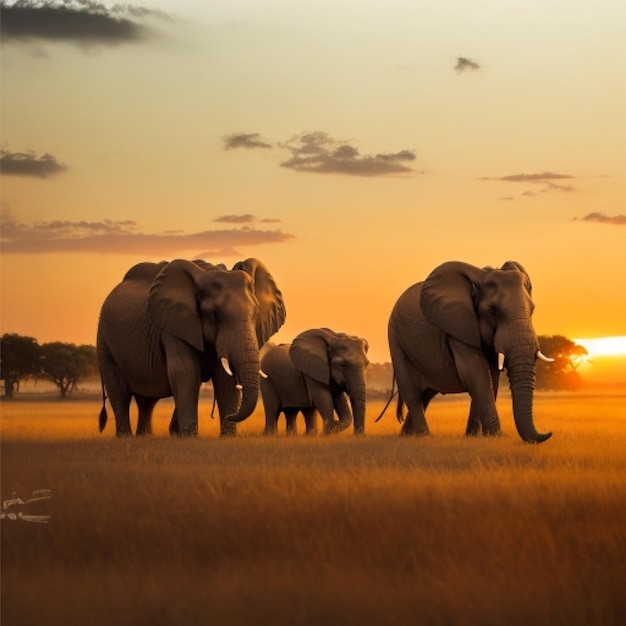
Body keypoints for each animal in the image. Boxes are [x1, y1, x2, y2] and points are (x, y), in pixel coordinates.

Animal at [97, 256, 286, 436]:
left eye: (255, 313)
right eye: (215, 314)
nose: (229, 416)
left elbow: (225, 378)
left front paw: (227, 436)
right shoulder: (173, 324)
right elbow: (186, 372)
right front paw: (189, 436)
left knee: (147, 401)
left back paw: (147, 436)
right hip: (104, 341)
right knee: (119, 391)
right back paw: (126, 436)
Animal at [386, 260, 552, 442]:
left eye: (533, 309)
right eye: (493, 311)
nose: (548, 433)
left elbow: (490, 376)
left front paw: (474, 437)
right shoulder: (458, 324)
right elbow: (475, 371)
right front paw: (496, 435)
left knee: (426, 395)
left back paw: (408, 436)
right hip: (395, 339)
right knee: (412, 392)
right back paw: (424, 436)